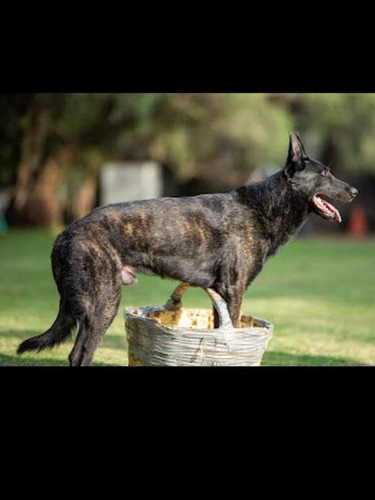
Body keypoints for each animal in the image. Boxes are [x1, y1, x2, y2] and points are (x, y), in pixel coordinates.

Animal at [16, 134, 358, 368]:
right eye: (325, 173)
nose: (354, 191)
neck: (263, 207)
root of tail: (63, 235)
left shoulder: (221, 295)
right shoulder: (234, 290)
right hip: (103, 304)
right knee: (80, 355)